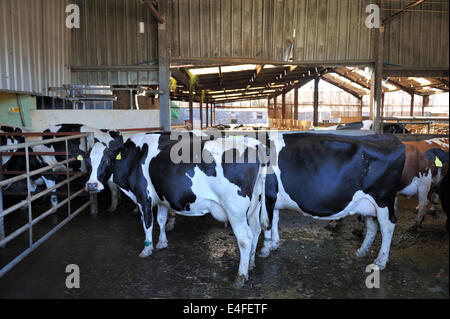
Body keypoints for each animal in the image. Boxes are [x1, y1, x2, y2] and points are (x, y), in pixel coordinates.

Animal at [85, 132, 268, 288]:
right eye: (88, 163)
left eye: (107, 161)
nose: (92, 185)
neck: (134, 158)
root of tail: (253, 143)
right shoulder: (161, 199)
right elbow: (161, 220)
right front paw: (162, 242)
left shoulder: (144, 197)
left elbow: (148, 223)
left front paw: (147, 249)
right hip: (254, 205)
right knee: (256, 230)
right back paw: (250, 264)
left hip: (235, 209)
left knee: (245, 238)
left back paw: (241, 276)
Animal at [258, 132, 406, 270]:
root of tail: (391, 138)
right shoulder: (274, 199)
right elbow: (275, 221)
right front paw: (275, 244)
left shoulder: (268, 196)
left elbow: (266, 223)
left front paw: (265, 249)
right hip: (370, 204)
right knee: (372, 226)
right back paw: (361, 251)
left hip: (383, 199)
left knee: (387, 226)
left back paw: (380, 261)